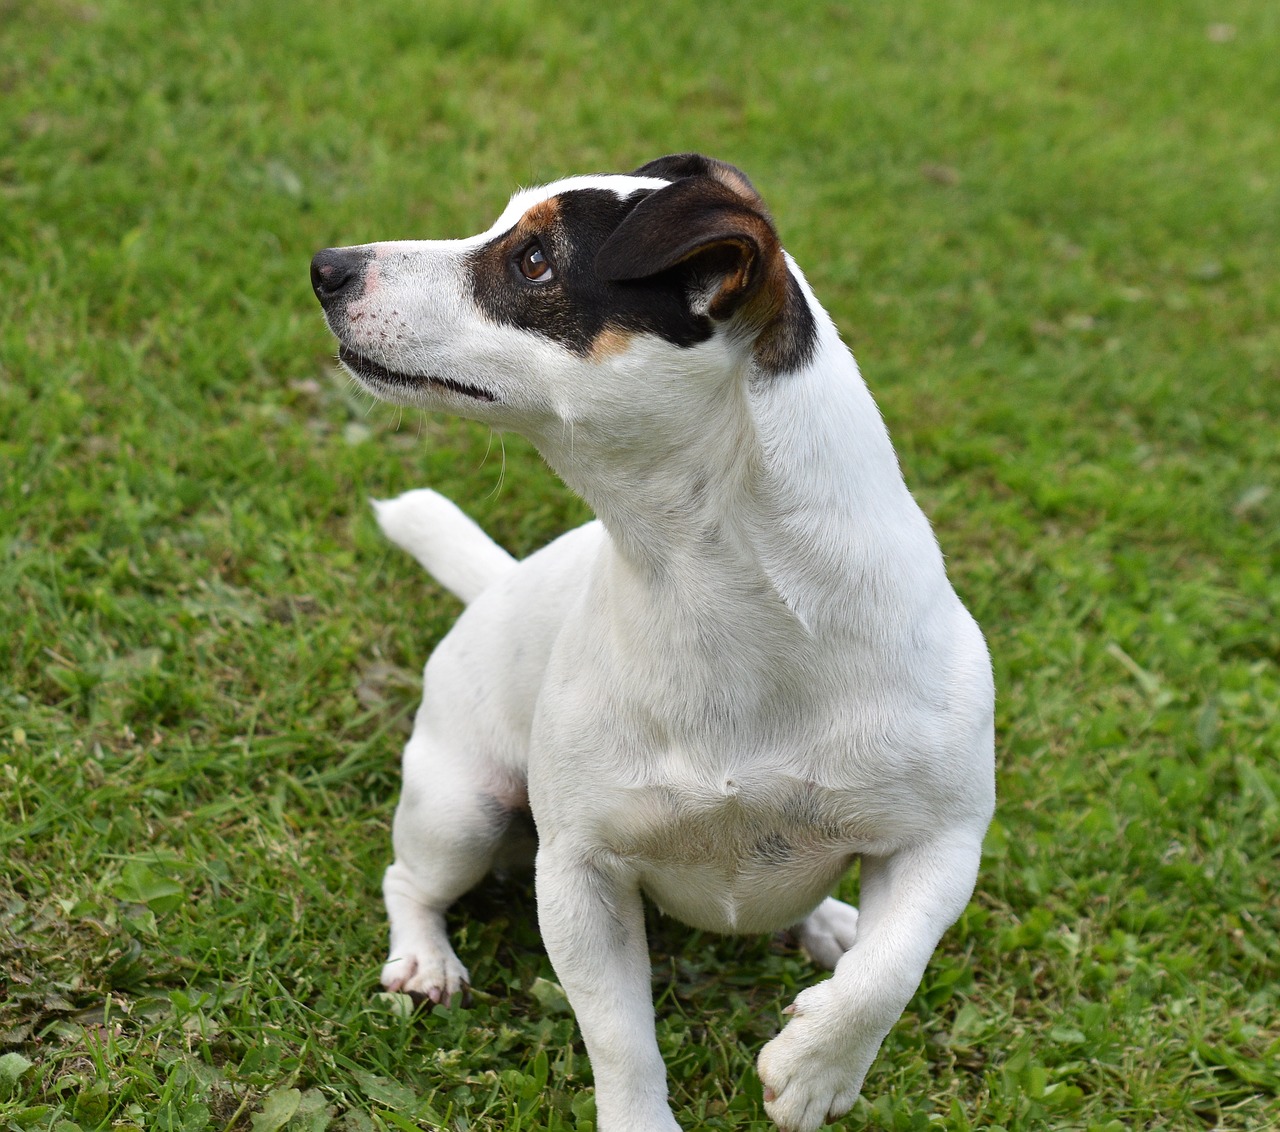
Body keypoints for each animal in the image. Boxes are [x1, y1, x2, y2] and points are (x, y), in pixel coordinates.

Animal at [307, 152, 988, 1132]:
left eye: (534, 263)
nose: (326, 266)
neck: (712, 590)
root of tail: (498, 583)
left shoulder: (942, 843)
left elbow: (889, 973)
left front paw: (816, 1069)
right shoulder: (580, 875)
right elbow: (621, 1038)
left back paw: (825, 923)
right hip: (461, 812)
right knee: (408, 883)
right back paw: (425, 960)